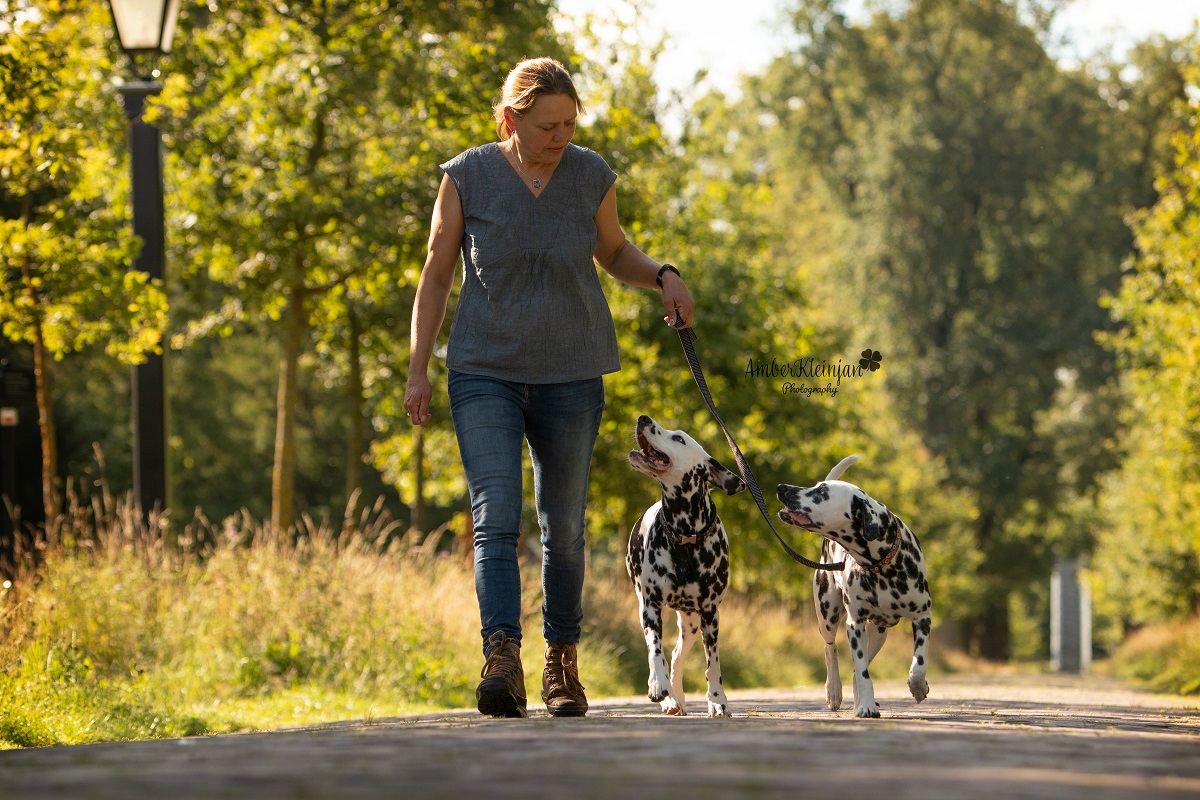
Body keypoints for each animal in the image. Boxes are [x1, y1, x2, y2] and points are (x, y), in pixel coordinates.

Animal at [624, 417, 744, 714]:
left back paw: (679, 696)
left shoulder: (711, 614)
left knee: (678, 655)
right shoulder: (651, 607)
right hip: (647, 608)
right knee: (663, 655)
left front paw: (718, 700)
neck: (685, 537)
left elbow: (713, 665)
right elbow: (655, 652)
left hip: (691, 623)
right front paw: (659, 687)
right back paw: (670, 697)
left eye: (678, 438)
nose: (643, 418)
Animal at [772, 455, 931, 719]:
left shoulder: (923, 616)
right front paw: (865, 705)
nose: (781, 487)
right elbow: (862, 671)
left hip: (877, 635)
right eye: (817, 487)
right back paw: (834, 691)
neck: (881, 564)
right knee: (831, 649)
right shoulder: (854, 625)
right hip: (828, 614)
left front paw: (918, 687)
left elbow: (918, 664)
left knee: (859, 669)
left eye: (822, 492)